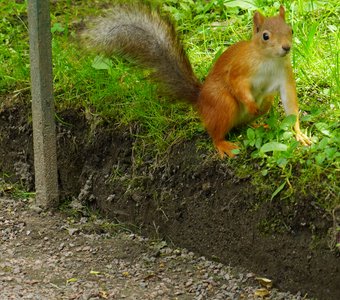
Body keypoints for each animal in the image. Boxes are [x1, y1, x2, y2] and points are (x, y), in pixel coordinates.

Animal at [82, 2, 310, 157]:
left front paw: (298, 133)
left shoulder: (284, 75)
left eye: (290, 30)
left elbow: (290, 102)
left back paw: (258, 124)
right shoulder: (241, 69)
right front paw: (251, 104)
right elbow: (236, 83)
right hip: (222, 103)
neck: (269, 60)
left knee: (246, 122)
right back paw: (224, 144)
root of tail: (200, 100)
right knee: (216, 133)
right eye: (265, 36)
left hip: (265, 101)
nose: (286, 47)